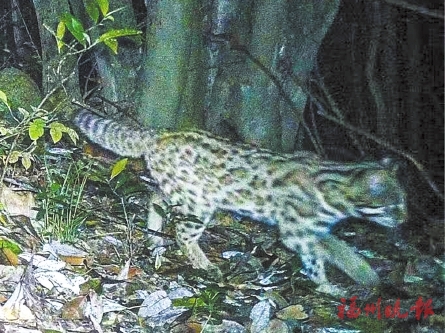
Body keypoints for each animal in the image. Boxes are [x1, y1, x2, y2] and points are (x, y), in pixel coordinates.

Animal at [73, 108, 406, 290]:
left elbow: (342, 250)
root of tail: (160, 134)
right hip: (199, 202)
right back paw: (205, 264)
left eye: (404, 202)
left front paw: (366, 275)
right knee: (182, 231)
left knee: (155, 197)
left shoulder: (314, 230)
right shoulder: (297, 231)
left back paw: (155, 236)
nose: (405, 219)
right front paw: (328, 285)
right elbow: (316, 259)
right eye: (396, 205)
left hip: (180, 191)